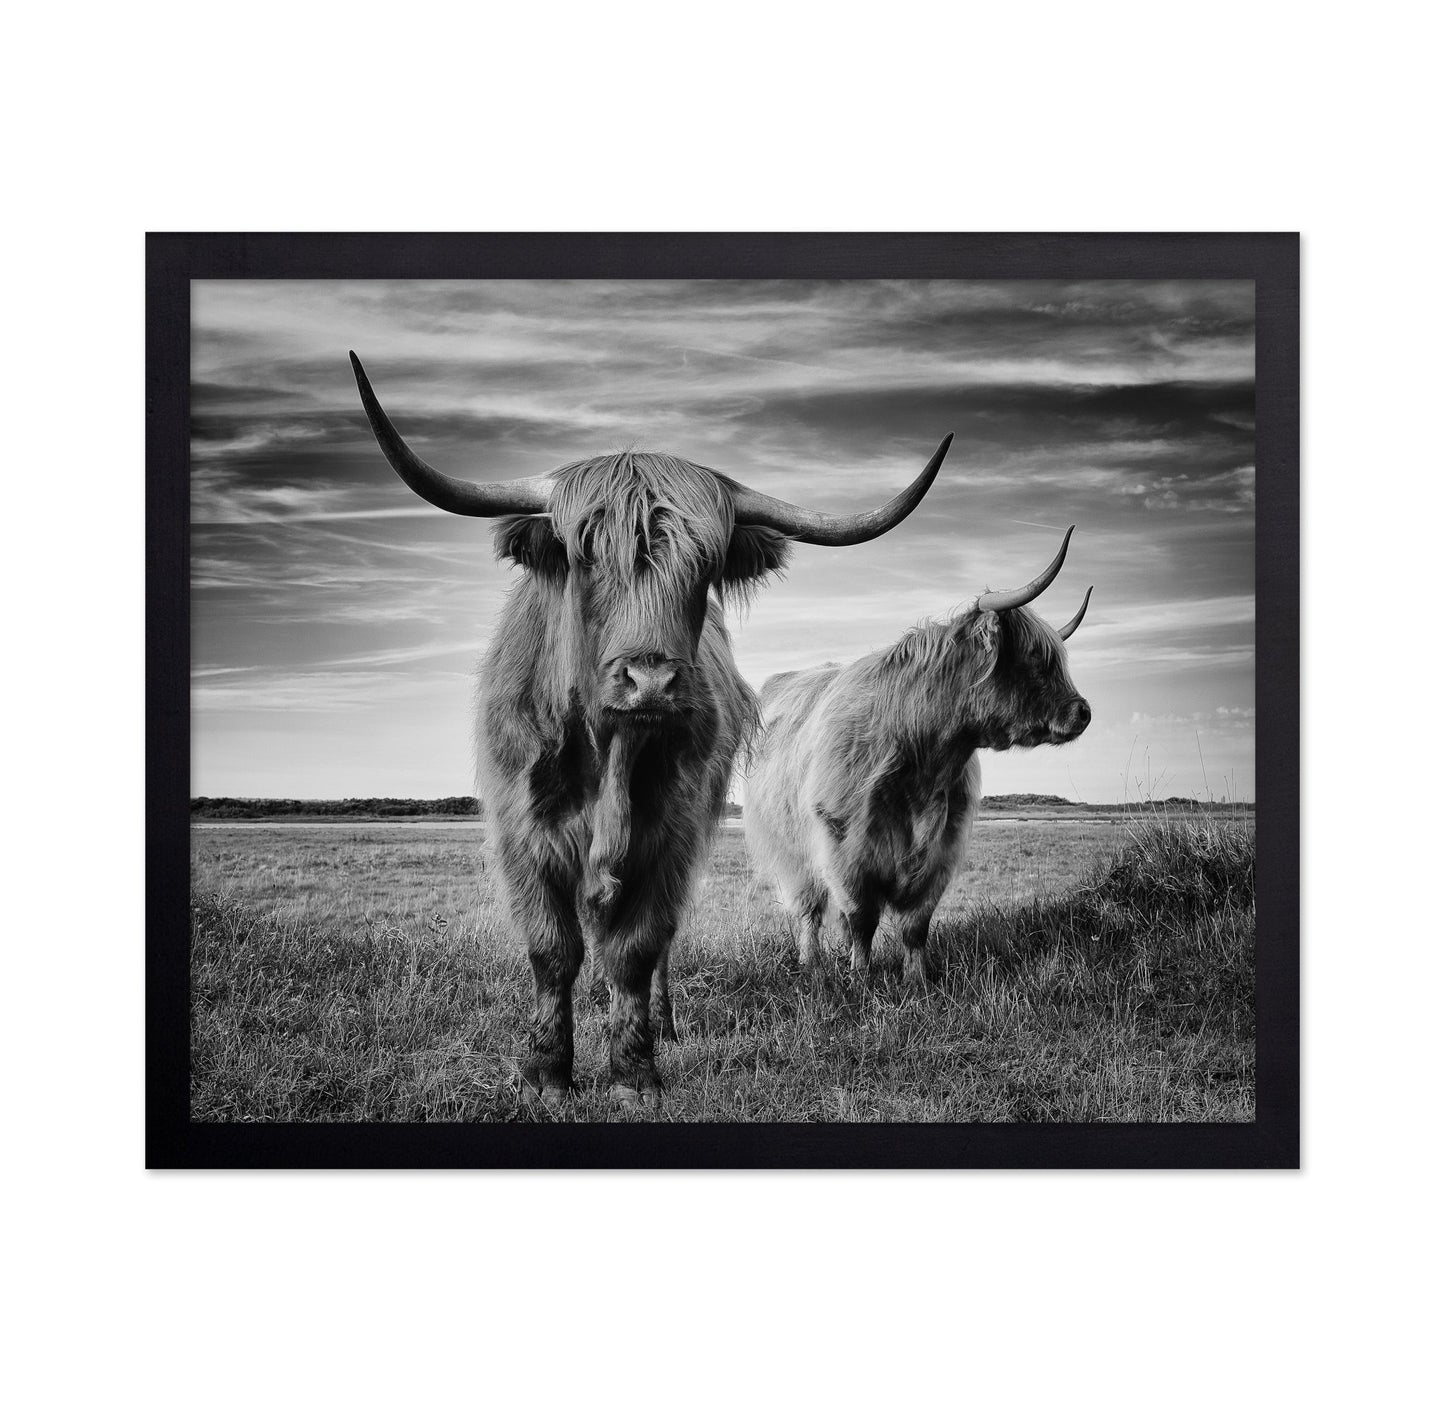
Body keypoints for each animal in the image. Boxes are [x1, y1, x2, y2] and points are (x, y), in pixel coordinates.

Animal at [349, 353, 952, 1108]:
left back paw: (661, 1024)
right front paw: (546, 1072)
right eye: (585, 555)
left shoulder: (671, 831)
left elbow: (636, 948)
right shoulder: (522, 831)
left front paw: (633, 1071)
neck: (608, 753)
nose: (651, 681)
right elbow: (552, 948)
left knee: (657, 944)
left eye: (705, 564)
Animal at [744, 529, 1092, 989]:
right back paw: (811, 963)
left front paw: (917, 981)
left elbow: (915, 925)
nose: (1083, 712)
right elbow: (861, 918)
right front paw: (861, 979)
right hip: (790, 852)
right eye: (1035, 658)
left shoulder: (942, 849)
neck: (924, 760)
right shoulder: (846, 848)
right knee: (809, 910)